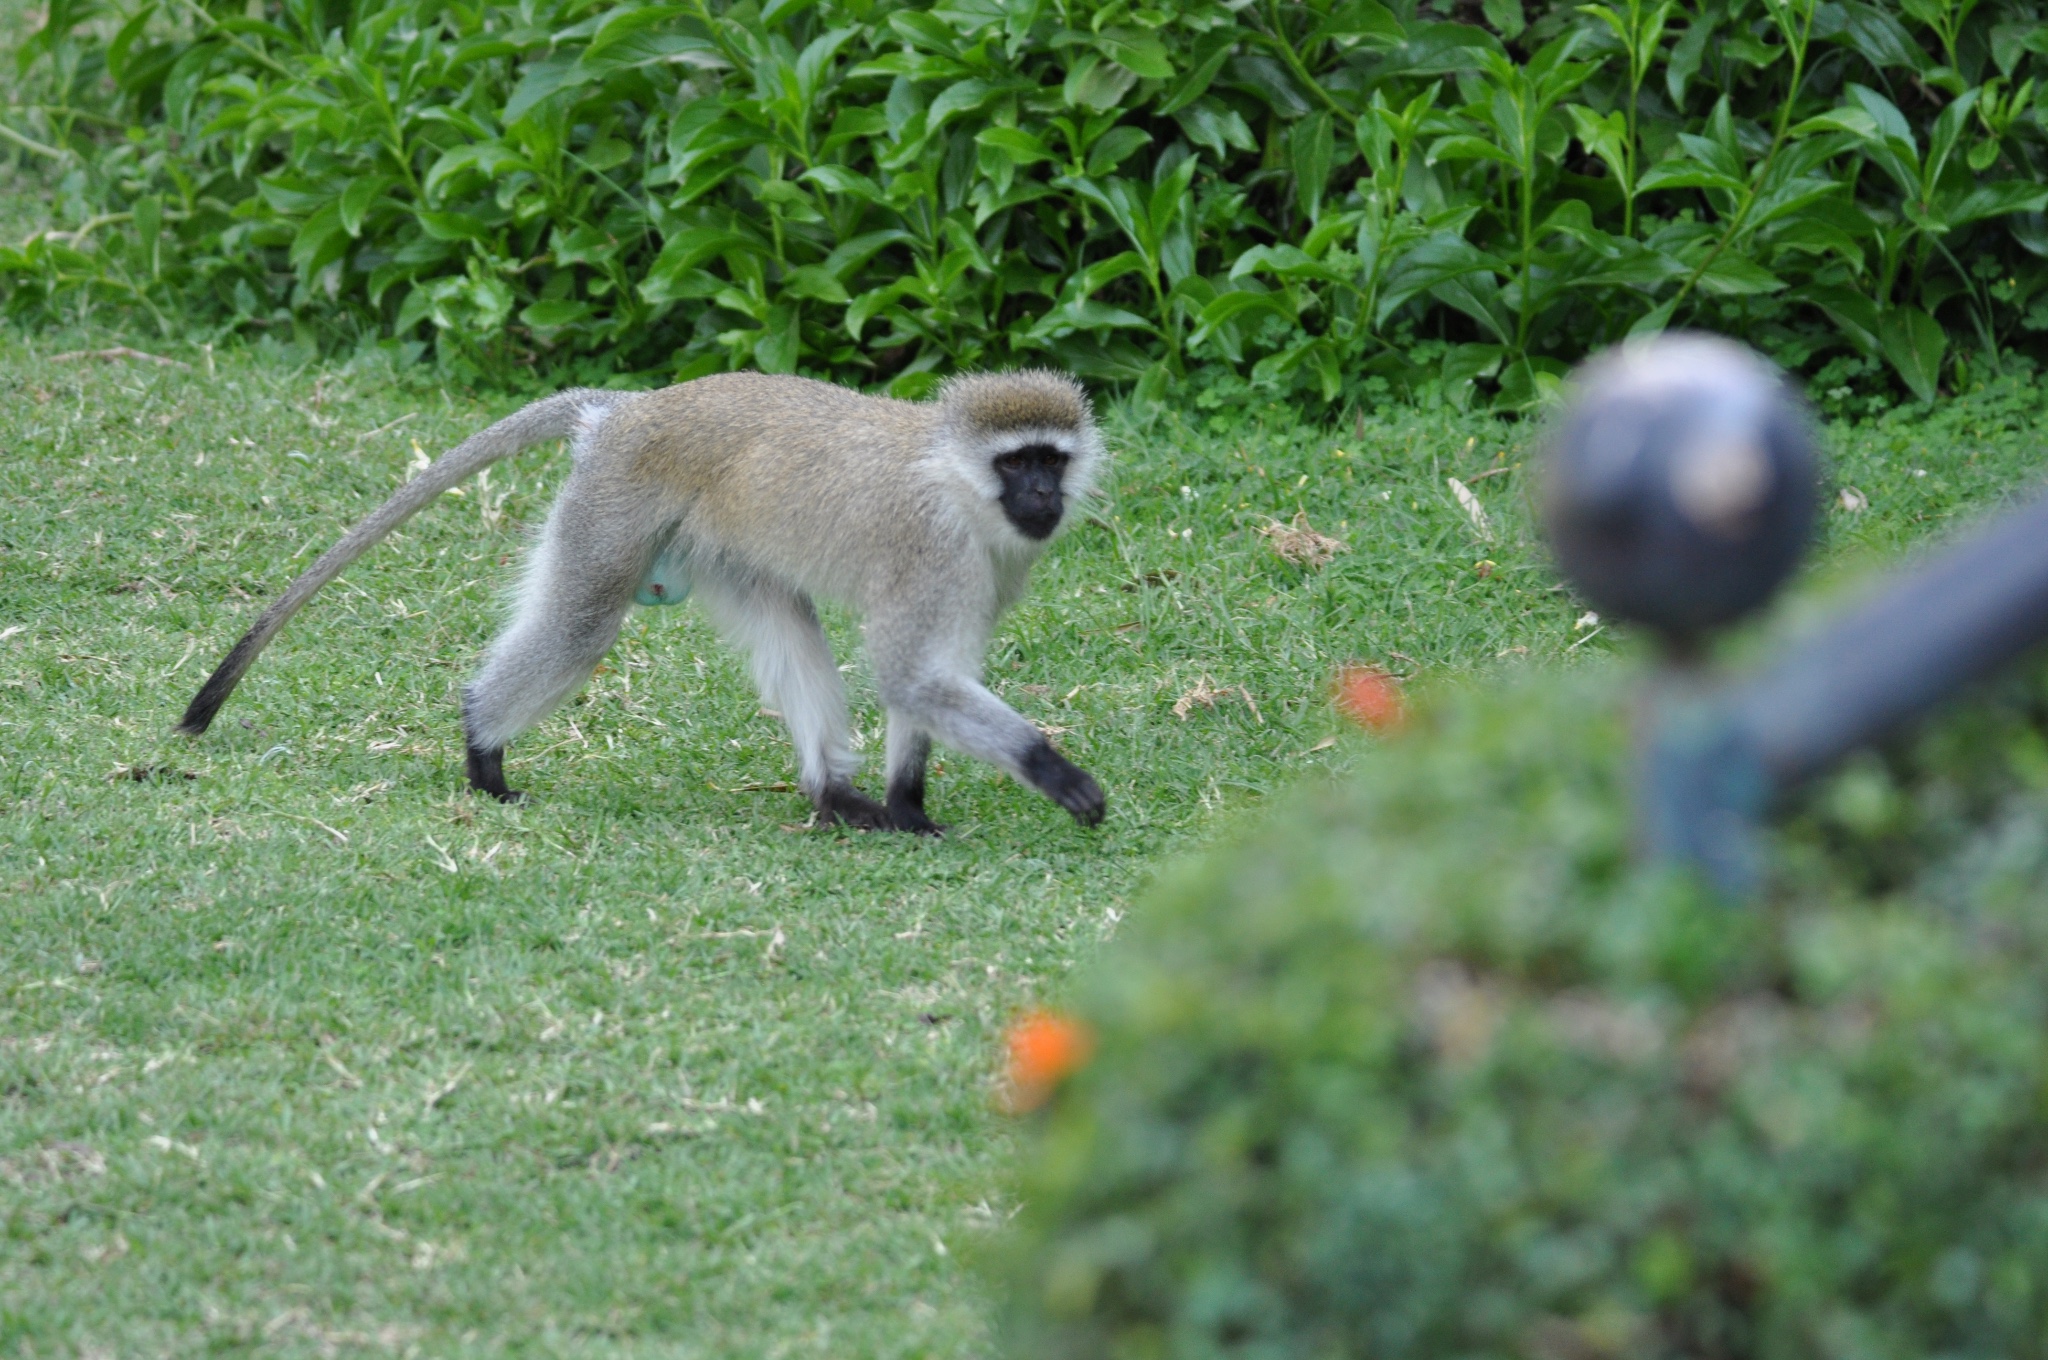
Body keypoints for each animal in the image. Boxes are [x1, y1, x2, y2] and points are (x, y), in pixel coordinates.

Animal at [176, 374, 1105, 839]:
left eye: (1051, 461)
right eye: (1016, 462)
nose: (1042, 499)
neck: (955, 485)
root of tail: (630, 409)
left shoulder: (984, 569)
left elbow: (922, 684)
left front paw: (908, 806)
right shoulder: (933, 554)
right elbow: (912, 675)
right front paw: (1058, 776)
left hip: (713, 540)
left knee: (786, 624)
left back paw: (832, 796)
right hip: (611, 506)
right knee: (581, 623)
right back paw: (482, 746)